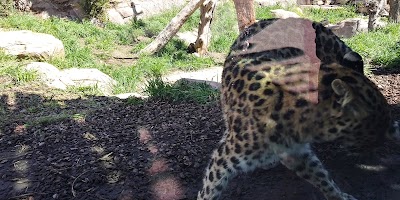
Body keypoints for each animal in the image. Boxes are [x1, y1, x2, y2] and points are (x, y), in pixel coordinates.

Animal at [198, 17, 400, 200]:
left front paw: (339, 196)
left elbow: (321, 177)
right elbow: (209, 188)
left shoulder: (296, 153)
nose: (374, 148)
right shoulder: (223, 159)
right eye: (372, 131)